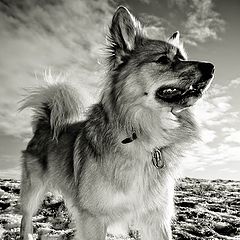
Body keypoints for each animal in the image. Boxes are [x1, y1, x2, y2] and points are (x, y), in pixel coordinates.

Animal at [18, 5, 214, 240]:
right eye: (163, 60)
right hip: (33, 190)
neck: (142, 135)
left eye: (183, 57)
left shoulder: (155, 217)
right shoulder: (93, 218)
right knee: (25, 218)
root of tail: (44, 124)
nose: (211, 67)